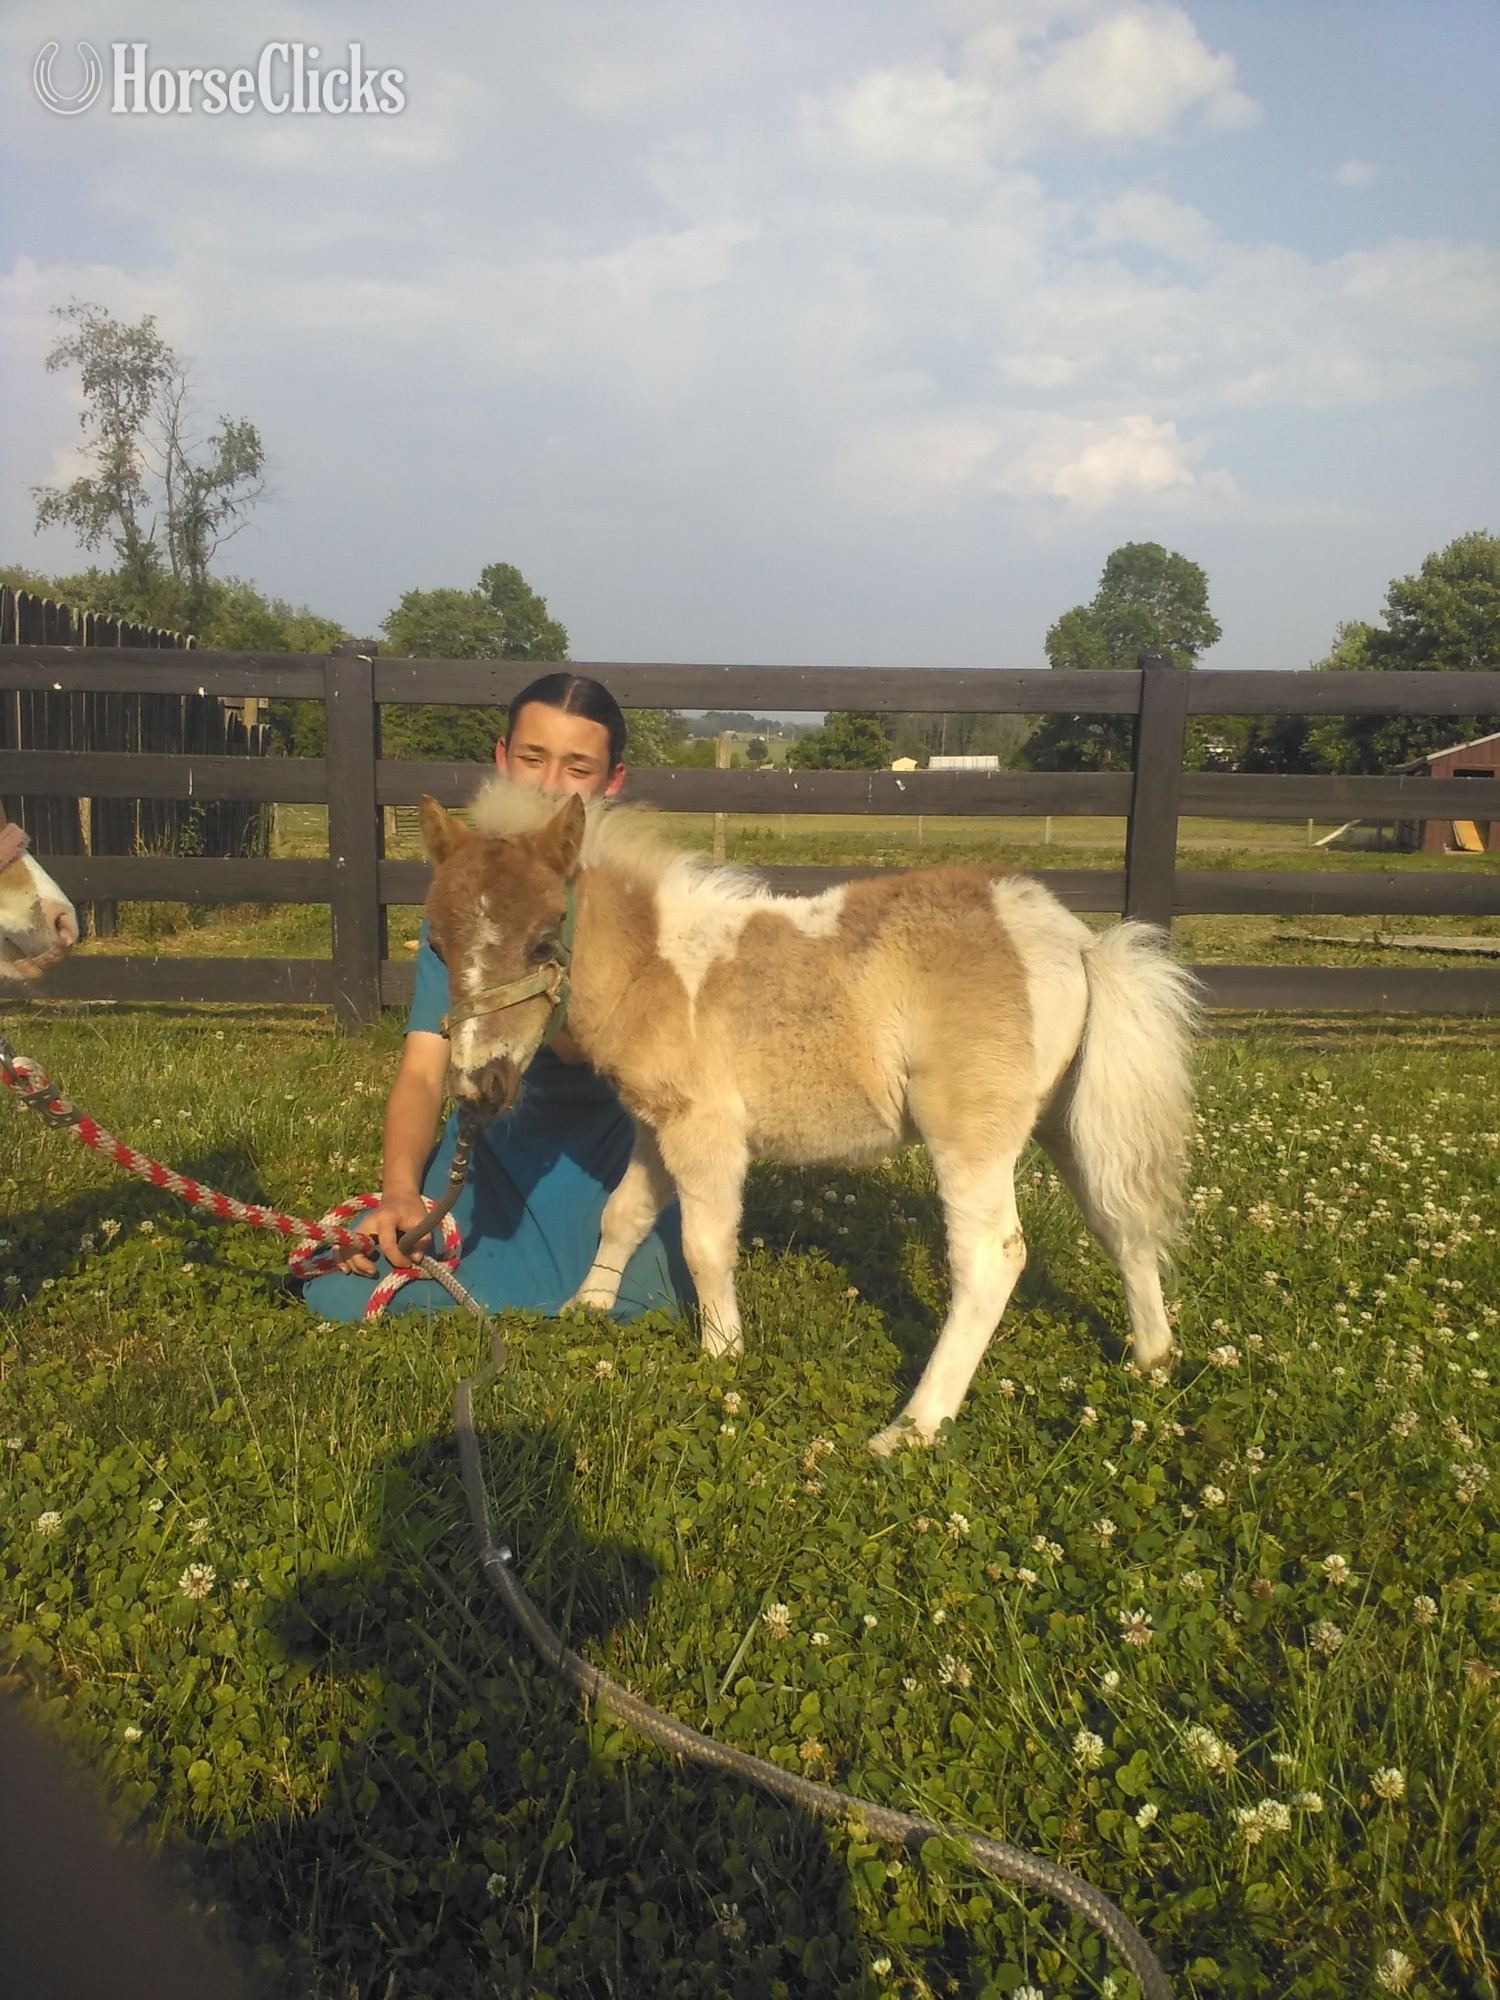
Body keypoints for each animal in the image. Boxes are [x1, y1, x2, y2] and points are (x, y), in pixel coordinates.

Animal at [420, 778, 1199, 1454]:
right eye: (437, 945)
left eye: (544, 938)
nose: (479, 1086)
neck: (657, 967)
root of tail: (1078, 941)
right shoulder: (656, 1124)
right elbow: (624, 1213)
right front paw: (586, 1309)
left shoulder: (705, 1130)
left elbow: (705, 1246)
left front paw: (723, 1358)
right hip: (1063, 1121)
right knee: (1118, 1220)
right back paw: (1153, 1358)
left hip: (969, 1135)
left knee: (990, 1258)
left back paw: (911, 1429)